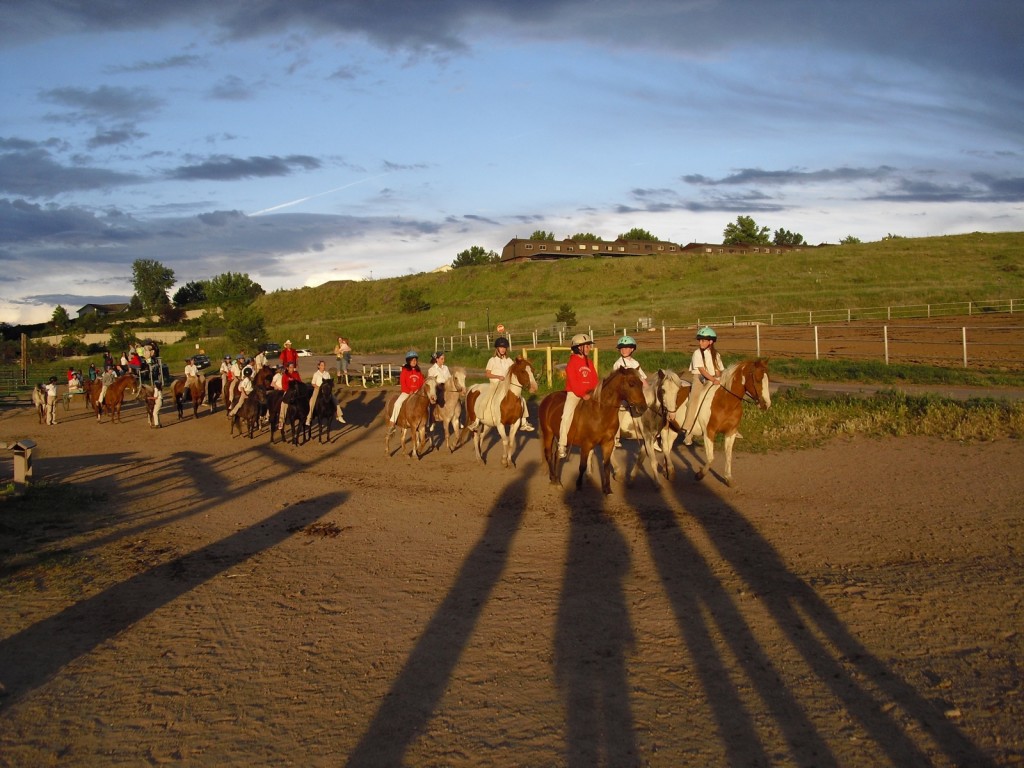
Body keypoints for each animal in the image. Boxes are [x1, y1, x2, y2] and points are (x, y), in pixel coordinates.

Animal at [540, 368, 643, 499]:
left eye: (641, 383)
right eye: (631, 383)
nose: (643, 407)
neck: (601, 412)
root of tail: (548, 398)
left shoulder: (608, 443)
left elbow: (606, 465)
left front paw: (607, 489)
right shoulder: (586, 444)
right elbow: (582, 466)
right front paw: (578, 486)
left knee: (557, 455)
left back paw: (558, 482)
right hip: (548, 433)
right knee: (548, 454)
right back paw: (553, 479)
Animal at [671, 356, 770, 487]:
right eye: (758, 380)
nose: (766, 404)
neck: (725, 402)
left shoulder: (730, 432)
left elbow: (728, 455)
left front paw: (728, 478)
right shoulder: (709, 432)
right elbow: (711, 457)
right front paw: (700, 474)